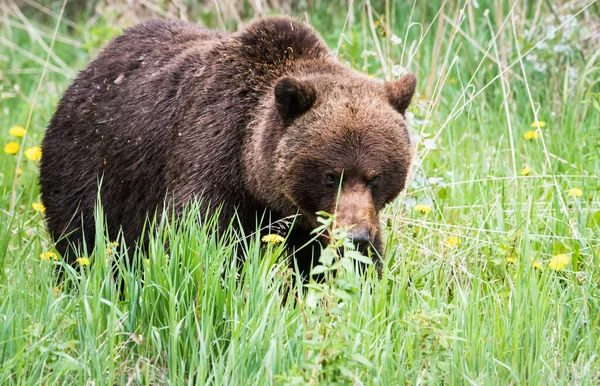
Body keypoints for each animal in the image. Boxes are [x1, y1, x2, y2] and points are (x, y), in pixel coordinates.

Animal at [39, 17, 414, 278]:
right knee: (82, 242)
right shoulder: (211, 159)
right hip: (94, 169)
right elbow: (201, 246)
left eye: (376, 177)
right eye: (330, 175)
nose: (356, 237)